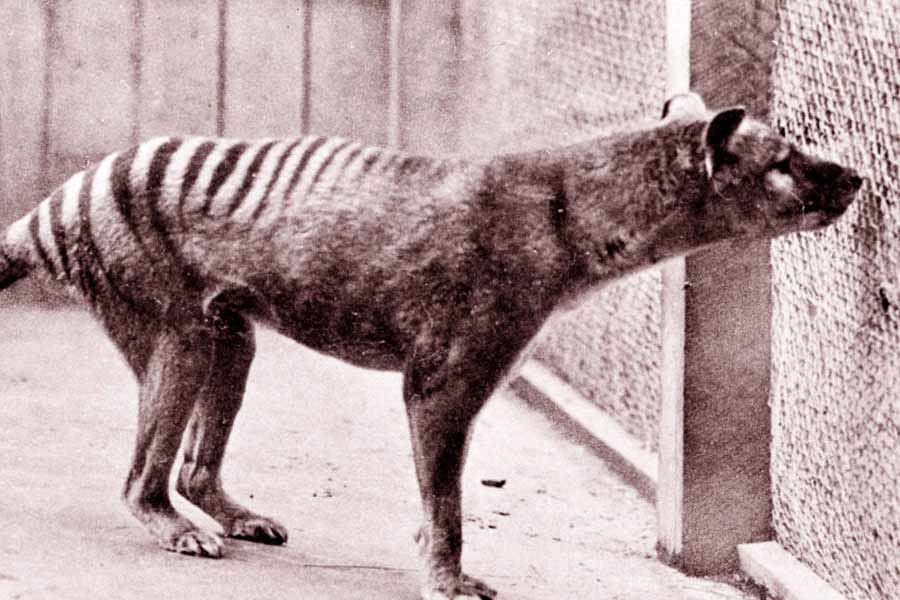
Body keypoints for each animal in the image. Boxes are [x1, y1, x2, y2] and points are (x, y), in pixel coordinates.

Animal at [0, 92, 862, 600]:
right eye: (783, 163)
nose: (854, 177)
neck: (570, 209)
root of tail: (53, 204)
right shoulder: (447, 378)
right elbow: (445, 503)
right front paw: (447, 579)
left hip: (229, 336)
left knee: (193, 463)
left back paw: (233, 515)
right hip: (177, 336)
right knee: (143, 477)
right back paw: (178, 529)